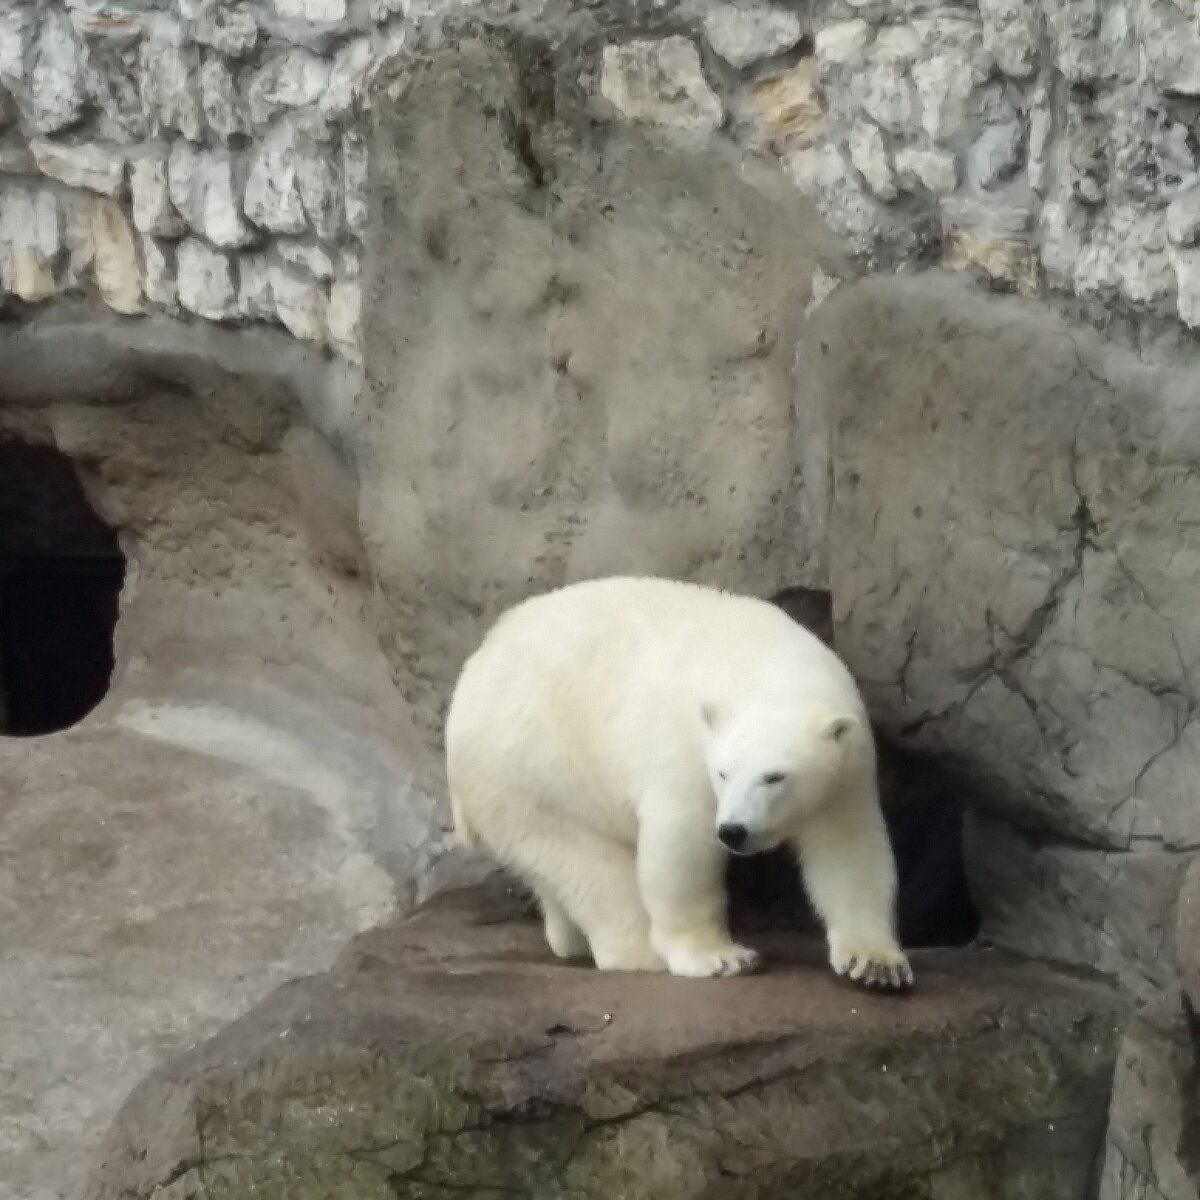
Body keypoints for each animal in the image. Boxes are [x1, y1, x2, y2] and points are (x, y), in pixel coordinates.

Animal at [446, 576, 912, 988]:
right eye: (724, 772)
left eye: (775, 776)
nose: (734, 830)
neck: (763, 669)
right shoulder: (687, 750)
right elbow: (683, 845)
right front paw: (720, 957)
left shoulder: (847, 764)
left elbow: (847, 848)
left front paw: (876, 963)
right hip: (533, 767)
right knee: (588, 863)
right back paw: (640, 951)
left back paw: (567, 937)